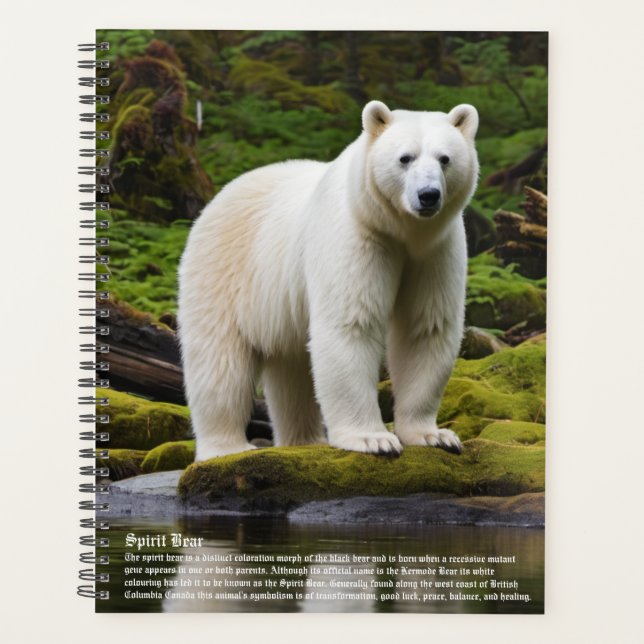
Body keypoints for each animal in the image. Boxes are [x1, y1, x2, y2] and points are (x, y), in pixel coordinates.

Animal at [177, 100, 479, 461]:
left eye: (445, 158)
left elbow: (425, 328)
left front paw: (435, 435)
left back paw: (305, 439)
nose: (428, 195)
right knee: (219, 360)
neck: (400, 229)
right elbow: (351, 324)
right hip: (225, 270)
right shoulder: (358, 235)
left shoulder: (435, 250)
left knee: (291, 366)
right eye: (405, 158)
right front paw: (374, 440)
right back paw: (227, 447)